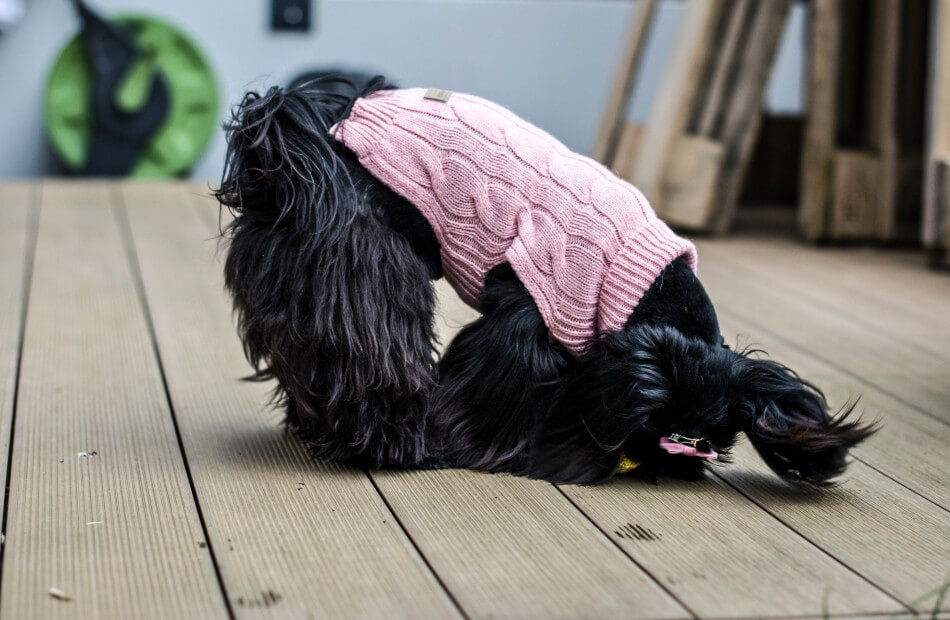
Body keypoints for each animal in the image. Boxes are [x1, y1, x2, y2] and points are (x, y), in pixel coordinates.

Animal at [218, 76, 876, 484]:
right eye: (654, 426)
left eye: (713, 440)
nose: (668, 461)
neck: (647, 287)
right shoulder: (529, 322)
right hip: (364, 273)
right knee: (370, 364)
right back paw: (397, 446)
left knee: (306, 360)